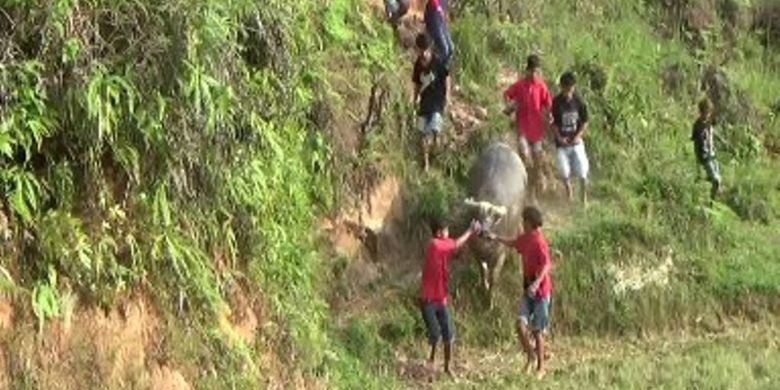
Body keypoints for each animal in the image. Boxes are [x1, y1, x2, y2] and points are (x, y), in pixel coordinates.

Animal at [466, 142, 528, 306]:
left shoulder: (500, 254)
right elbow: (483, 272)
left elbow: (493, 276)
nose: (483, 233)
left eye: (494, 219)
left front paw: (489, 302)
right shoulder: (476, 253)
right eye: (478, 216)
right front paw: (484, 289)